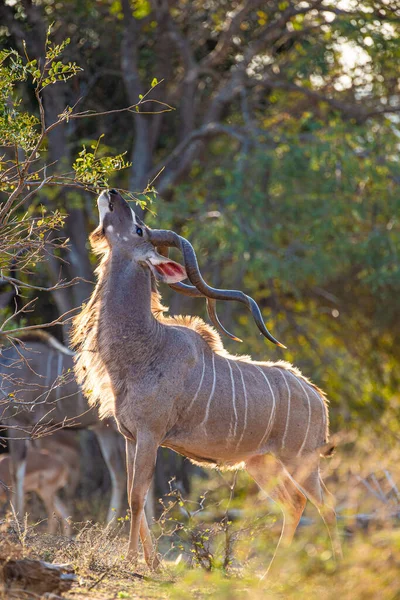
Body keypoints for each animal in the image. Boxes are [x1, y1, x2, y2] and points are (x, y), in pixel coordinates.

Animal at [72, 191, 340, 568]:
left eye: (138, 228)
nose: (113, 194)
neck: (145, 347)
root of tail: (317, 396)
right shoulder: (131, 437)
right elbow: (133, 495)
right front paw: (153, 563)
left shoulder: (150, 435)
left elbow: (137, 498)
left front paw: (133, 562)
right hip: (260, 463)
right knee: (294, 504)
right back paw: (268, 574)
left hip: (301, 460)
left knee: (325, 505)